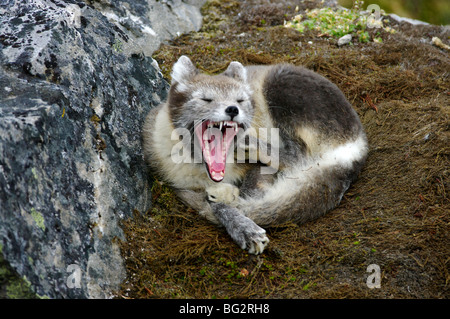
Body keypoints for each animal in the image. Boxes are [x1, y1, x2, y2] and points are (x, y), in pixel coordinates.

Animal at [142, 55, 368, 255]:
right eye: (206, 99)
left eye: (240, 100)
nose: (233, 109)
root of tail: (358, 142)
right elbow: (219, 206)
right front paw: (240, 224)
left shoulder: (259, 168)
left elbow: (250, 195)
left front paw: (242, 218)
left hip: (279, 86)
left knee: (298, 154)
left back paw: (247, 148)